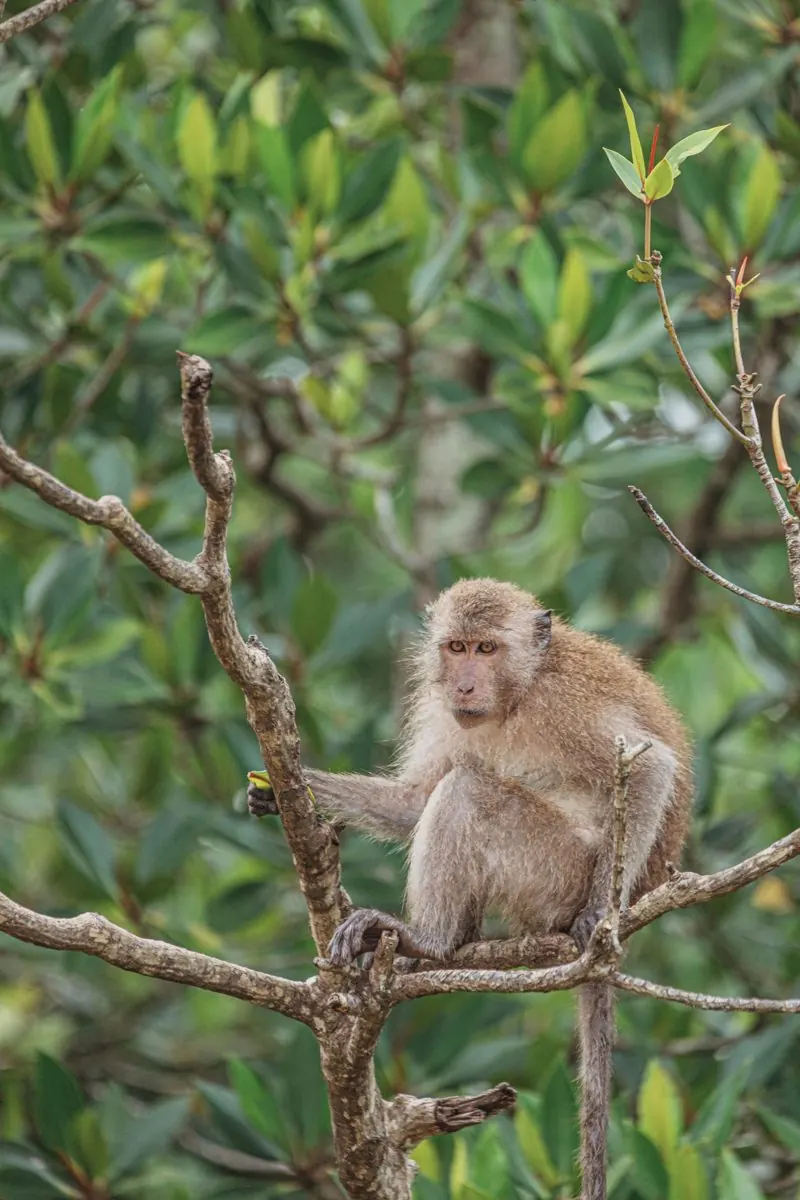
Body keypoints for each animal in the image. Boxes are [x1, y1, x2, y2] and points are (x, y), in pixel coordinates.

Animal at [247, 578, 692, 1200]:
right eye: (456, 647)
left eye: (487, 649)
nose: (464, 683)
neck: (517, 694)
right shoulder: (445, 711)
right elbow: (413, 803)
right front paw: (290, 787)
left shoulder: (564, 708)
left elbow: (652, 768)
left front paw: (598, 917)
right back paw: (445, 940)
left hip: (557, 872)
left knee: (468, 791)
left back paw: (428, 939)